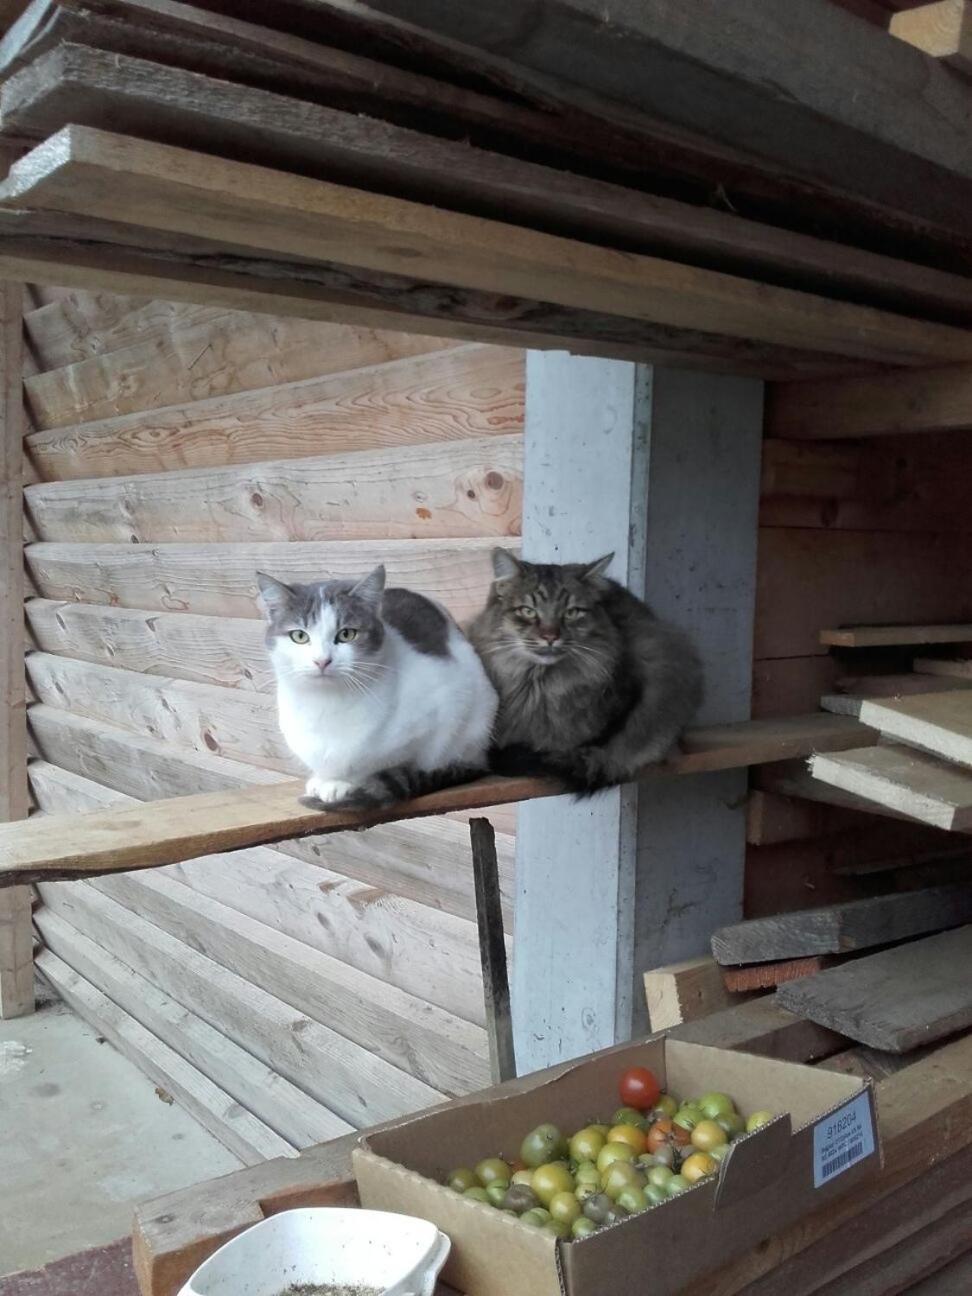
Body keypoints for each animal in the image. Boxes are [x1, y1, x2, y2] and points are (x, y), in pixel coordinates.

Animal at [259, 570, 497, 808]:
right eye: (299, 636)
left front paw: (343, 783)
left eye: (347, 634)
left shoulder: (440, 710)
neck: (324, 703)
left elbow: (377, 763)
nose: (322, 661)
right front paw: (322, 779)